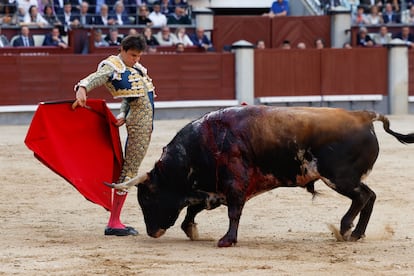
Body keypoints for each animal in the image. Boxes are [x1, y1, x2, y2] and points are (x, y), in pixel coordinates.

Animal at [106, 106, 414, 247]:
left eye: (148, 197)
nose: (151, 232)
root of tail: (363, 115)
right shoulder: (213, 190)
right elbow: (193, 209)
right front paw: (192, 230)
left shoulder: (234, 185)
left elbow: (233, 213)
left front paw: (227, 240)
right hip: (346, 178)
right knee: (370, 196)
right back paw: (357, 233)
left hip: (339, 177)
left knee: (362, 196)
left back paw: (345, 227)